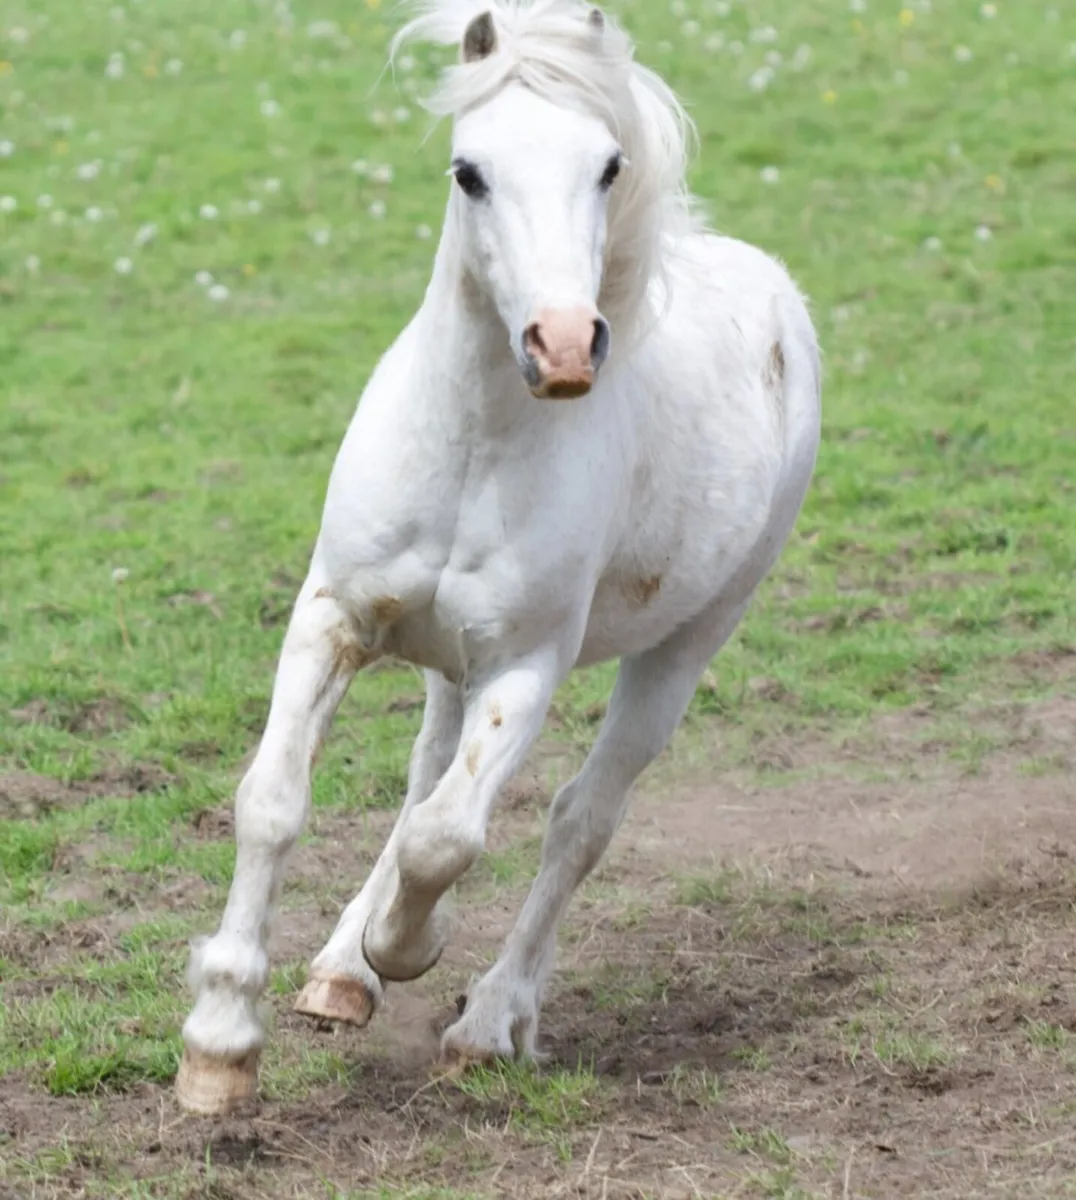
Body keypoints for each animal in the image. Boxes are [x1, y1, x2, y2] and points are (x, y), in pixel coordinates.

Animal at [175, 0, 822, 1115]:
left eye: (608, 166)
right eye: (467, 170)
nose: (560, 346)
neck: (475, 442)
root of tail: (774, 291)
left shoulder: (525, 665)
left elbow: (450, 837)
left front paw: (408, 947)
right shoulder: (334, 617)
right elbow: (274, 802)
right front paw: (220, 1046)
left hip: (686, 643)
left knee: (576, 821)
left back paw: (485, 1020)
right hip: (444, 660)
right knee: (424, 778)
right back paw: (339, 973)